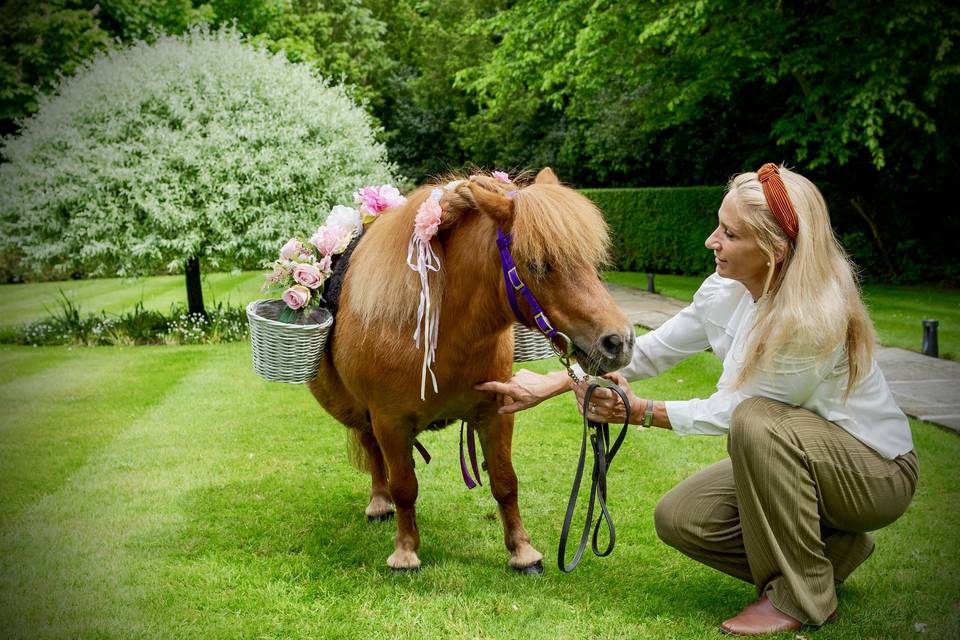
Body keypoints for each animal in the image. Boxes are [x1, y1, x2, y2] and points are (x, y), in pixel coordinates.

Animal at [308, 169, 632, 568]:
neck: (443, 336)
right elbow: (405, 487)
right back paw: (379, 502)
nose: (619, 341)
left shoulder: (496, 411)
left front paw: (522, 551)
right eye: (538, 265)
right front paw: (405, 551)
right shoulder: (389, 421)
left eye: (588, 260)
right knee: (373, 453)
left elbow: (506, 482)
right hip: (363, 413)